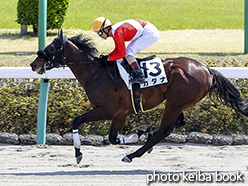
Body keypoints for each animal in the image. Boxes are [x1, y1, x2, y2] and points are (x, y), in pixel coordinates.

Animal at [30, 29, 247, 163]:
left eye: (51, 48)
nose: (33, 64)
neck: (96, 73)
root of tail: (207, 69)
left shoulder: (111, 111)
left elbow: (88, 126)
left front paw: (78, 154)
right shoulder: (118, 114)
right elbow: (110, 137)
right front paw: (141, 131)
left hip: (175, 102)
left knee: (165, 130)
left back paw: (133, 154)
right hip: (180, 102)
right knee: (176, 124)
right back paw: (147, 138)